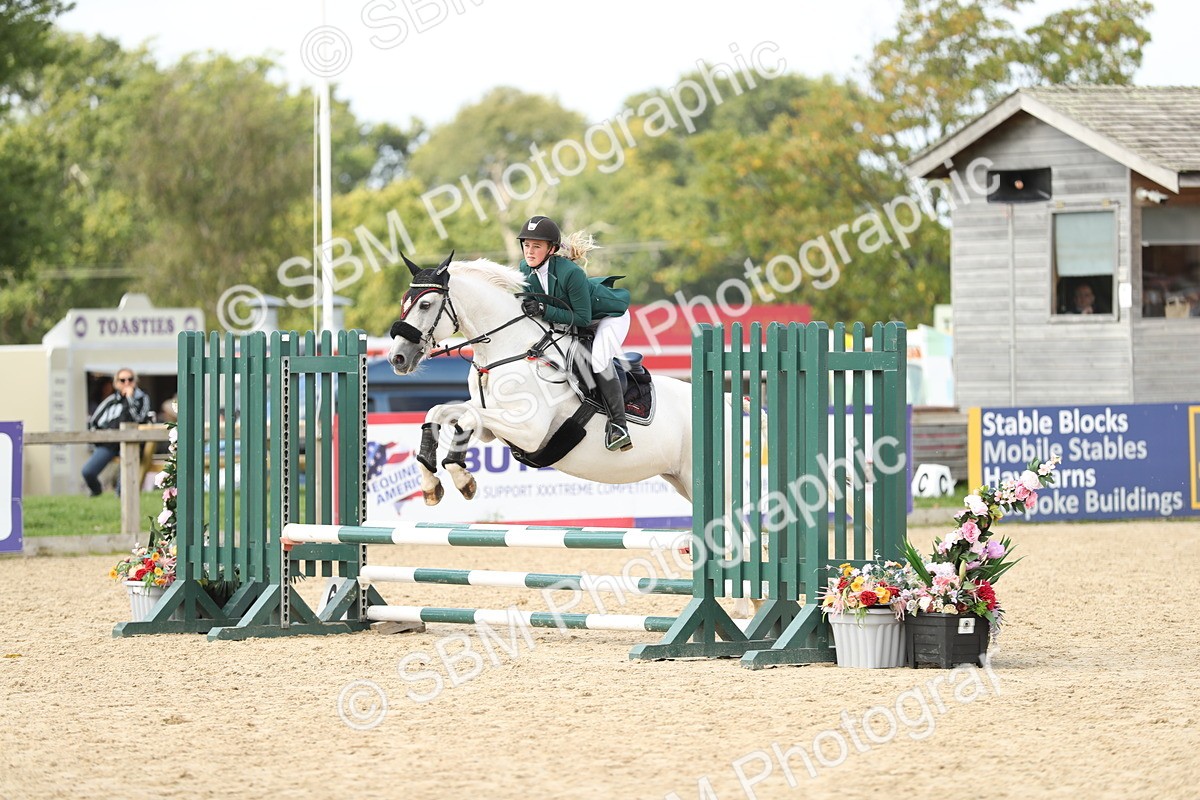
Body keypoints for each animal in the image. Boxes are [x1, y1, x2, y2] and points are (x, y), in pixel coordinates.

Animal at [386, 253, 695, 507]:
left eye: (425, 304)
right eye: (403, 302)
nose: (397, 357)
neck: (510, 347)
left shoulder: (529, 430)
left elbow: (467, 418)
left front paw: (463, 479)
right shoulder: (489, 423)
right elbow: (441, 412)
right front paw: (431, 484)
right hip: (679, 480)